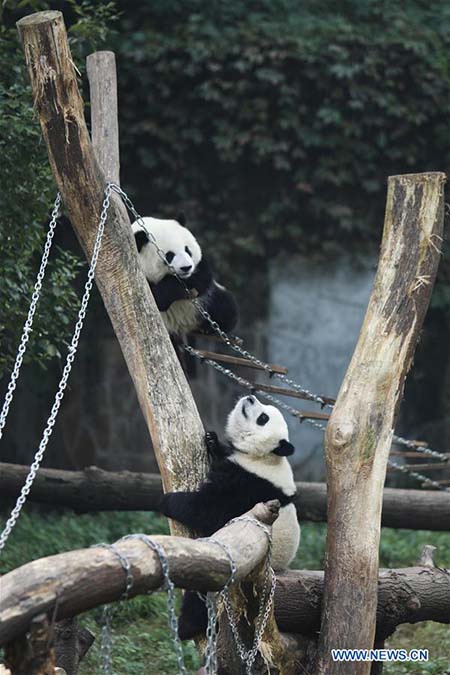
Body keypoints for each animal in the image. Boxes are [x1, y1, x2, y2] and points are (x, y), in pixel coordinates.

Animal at [160, 396, 300, 640]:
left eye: (263, 418)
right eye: (264, 410)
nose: (250, 397)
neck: (263, 457)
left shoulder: (249, 485)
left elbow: (208, 508)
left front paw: (165, 501)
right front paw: (212, 441)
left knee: (202, 591)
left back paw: (186, 627)